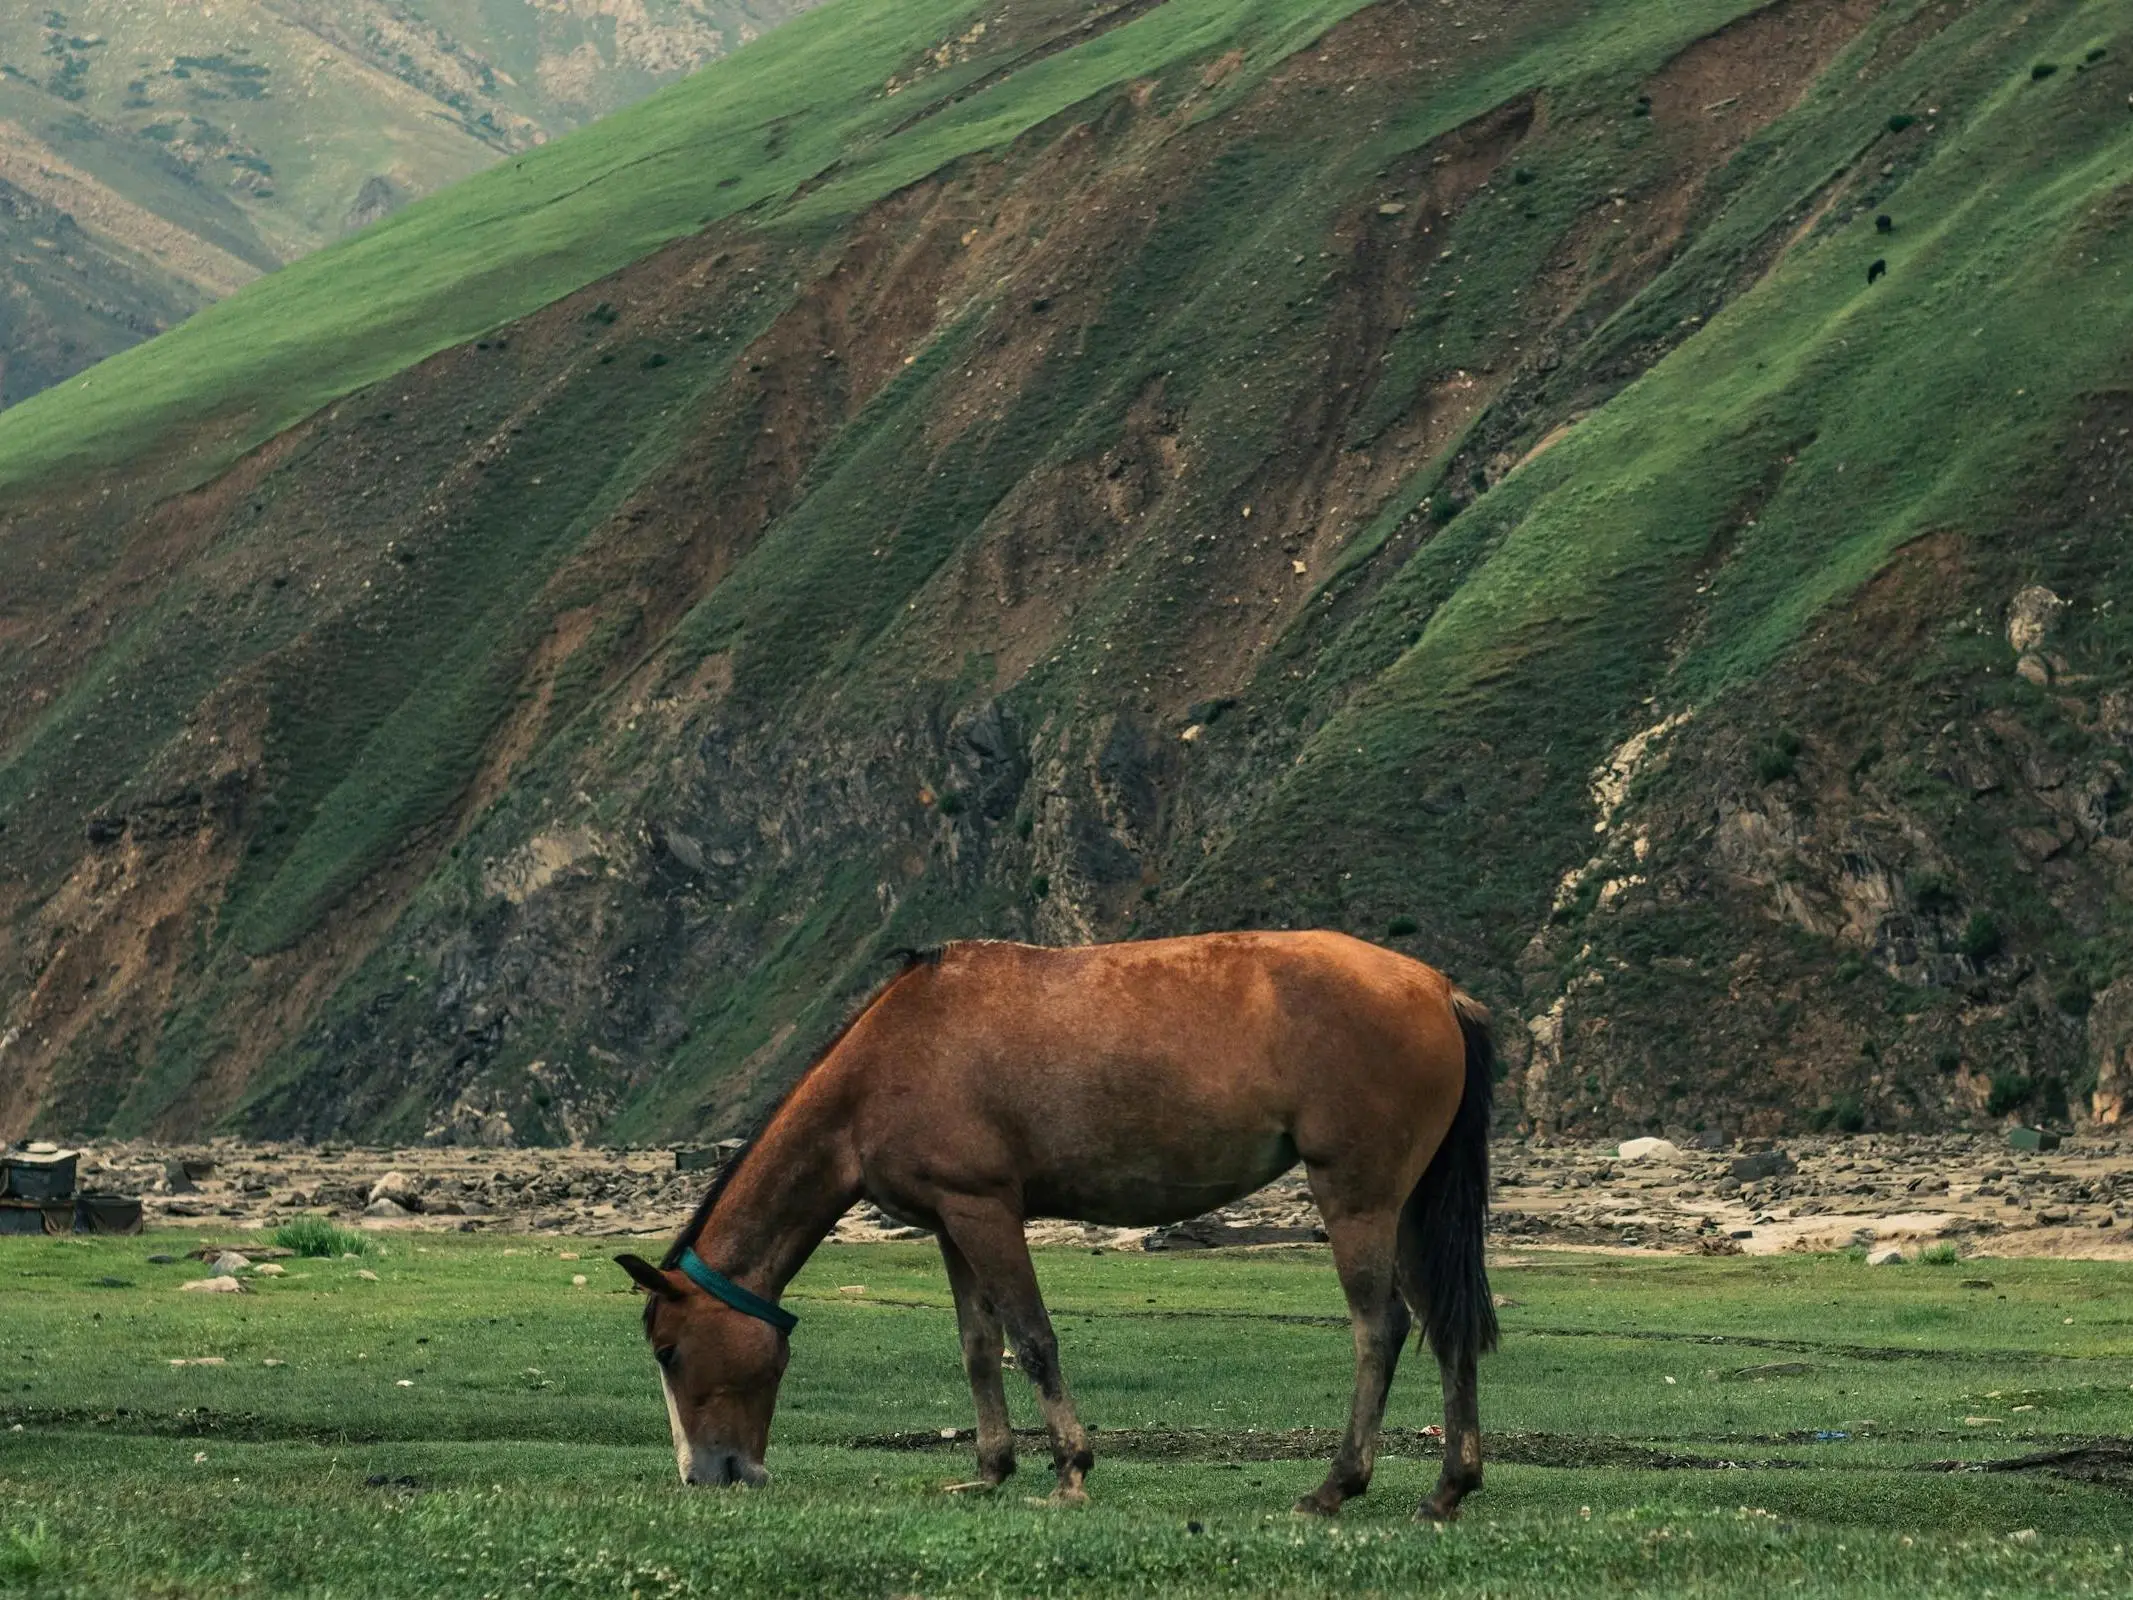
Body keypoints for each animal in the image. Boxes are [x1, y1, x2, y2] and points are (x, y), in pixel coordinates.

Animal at [610, 934, 1493, 1518]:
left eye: (668, 1350)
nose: (704, 1474)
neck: (886, 1063)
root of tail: (1435, 986)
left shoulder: (985, 1209)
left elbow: (1031, 1338)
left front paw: (1069, 1469)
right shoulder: (950, 1221)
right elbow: (977, 1345)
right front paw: (989, 1468)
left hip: (1358, 1199)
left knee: (1379, 1328)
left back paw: (1336, 1485)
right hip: (1410, 1208)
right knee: (1447, 1325)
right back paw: (1448, 1489)